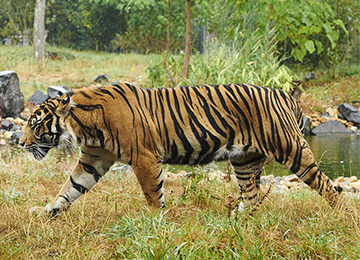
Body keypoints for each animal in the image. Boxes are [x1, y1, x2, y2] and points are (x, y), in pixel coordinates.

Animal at [19, 83, 346, 215]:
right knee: (252, 197)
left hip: (292, 149)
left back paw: (339, 215)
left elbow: (153, 194)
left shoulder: (145, 158)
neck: (85, 126)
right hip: (245, 160)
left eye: (35, 124)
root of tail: (285, 95)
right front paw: (47, 211)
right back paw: (239, 221)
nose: (20, 143)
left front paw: (154, 221)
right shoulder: (93, 159)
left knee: (327, 185)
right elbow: (70, 188)